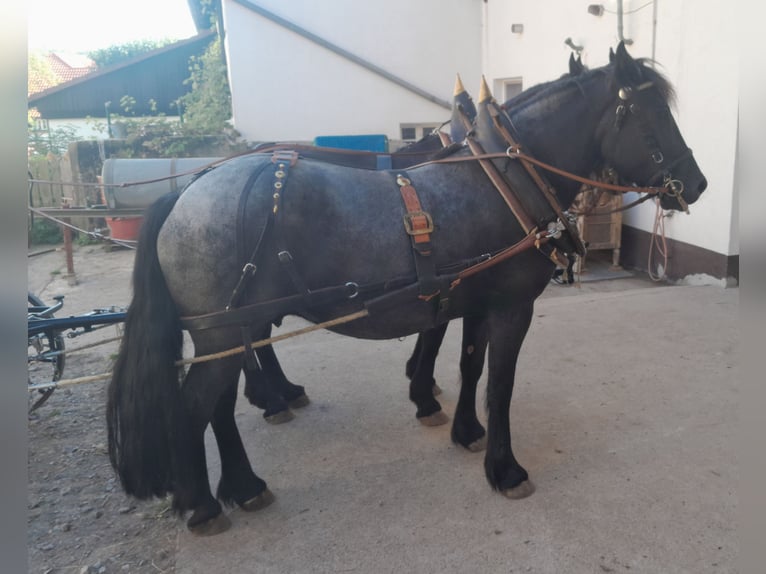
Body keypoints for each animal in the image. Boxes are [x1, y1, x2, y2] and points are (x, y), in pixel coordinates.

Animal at [106, 43, 706, 535]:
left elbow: (469, 366)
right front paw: (504, 468)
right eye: (653, 115)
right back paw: (205, 502)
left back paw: (244, 482)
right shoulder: (512, 307)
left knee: (221, 405)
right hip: (222, 333)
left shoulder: (476, 302)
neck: (501, 182)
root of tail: (187, 191)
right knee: (195, 408)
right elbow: (500, 384)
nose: (696, 184)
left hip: (226, 333)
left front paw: (465, 430)